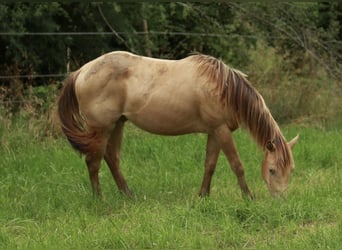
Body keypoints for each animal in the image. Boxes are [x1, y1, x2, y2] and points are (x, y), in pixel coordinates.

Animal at [57, 51, 298, 199]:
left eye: (291, 170)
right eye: (272, 170)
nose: (281, 200)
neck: (224, 89)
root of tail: (81, 72)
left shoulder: (215, 131)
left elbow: (210, 165)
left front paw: (203, 196)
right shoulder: (221, 130)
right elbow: (237, 165)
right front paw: (248, 197)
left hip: (117, 124)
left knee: (112, 158)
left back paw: (128, 194)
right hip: (102, 128)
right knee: (93, 161)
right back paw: (100, 199)